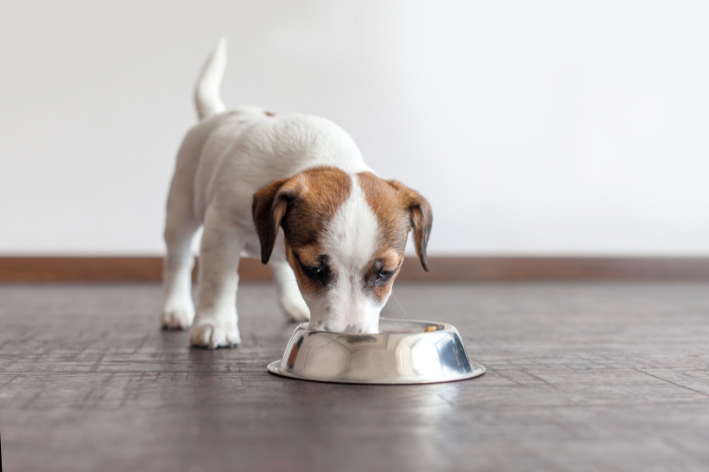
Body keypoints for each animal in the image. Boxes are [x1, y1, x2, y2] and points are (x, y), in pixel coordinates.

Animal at [160, 39, 432, 346]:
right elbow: (219, 280)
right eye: (314, 270)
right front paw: (214, 323)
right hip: (180, 212)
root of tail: (214, 115)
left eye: (386, 273)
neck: (323, 153)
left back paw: (294, 303)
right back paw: (175, 308)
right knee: (178, 259)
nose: (349, 337)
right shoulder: (222, 228)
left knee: (277, 263)